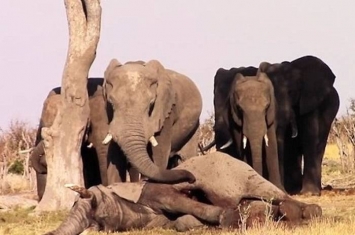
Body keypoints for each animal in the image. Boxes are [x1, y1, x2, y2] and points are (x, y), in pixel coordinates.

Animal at [44, 151, 322, 234]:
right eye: (97, 223)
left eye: (93, 202)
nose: (192, 182)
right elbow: (180, 222)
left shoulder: (154, 192)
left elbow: (176, 200)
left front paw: (228, 219)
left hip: (239, 171)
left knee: (274, 194)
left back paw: (304, 212)